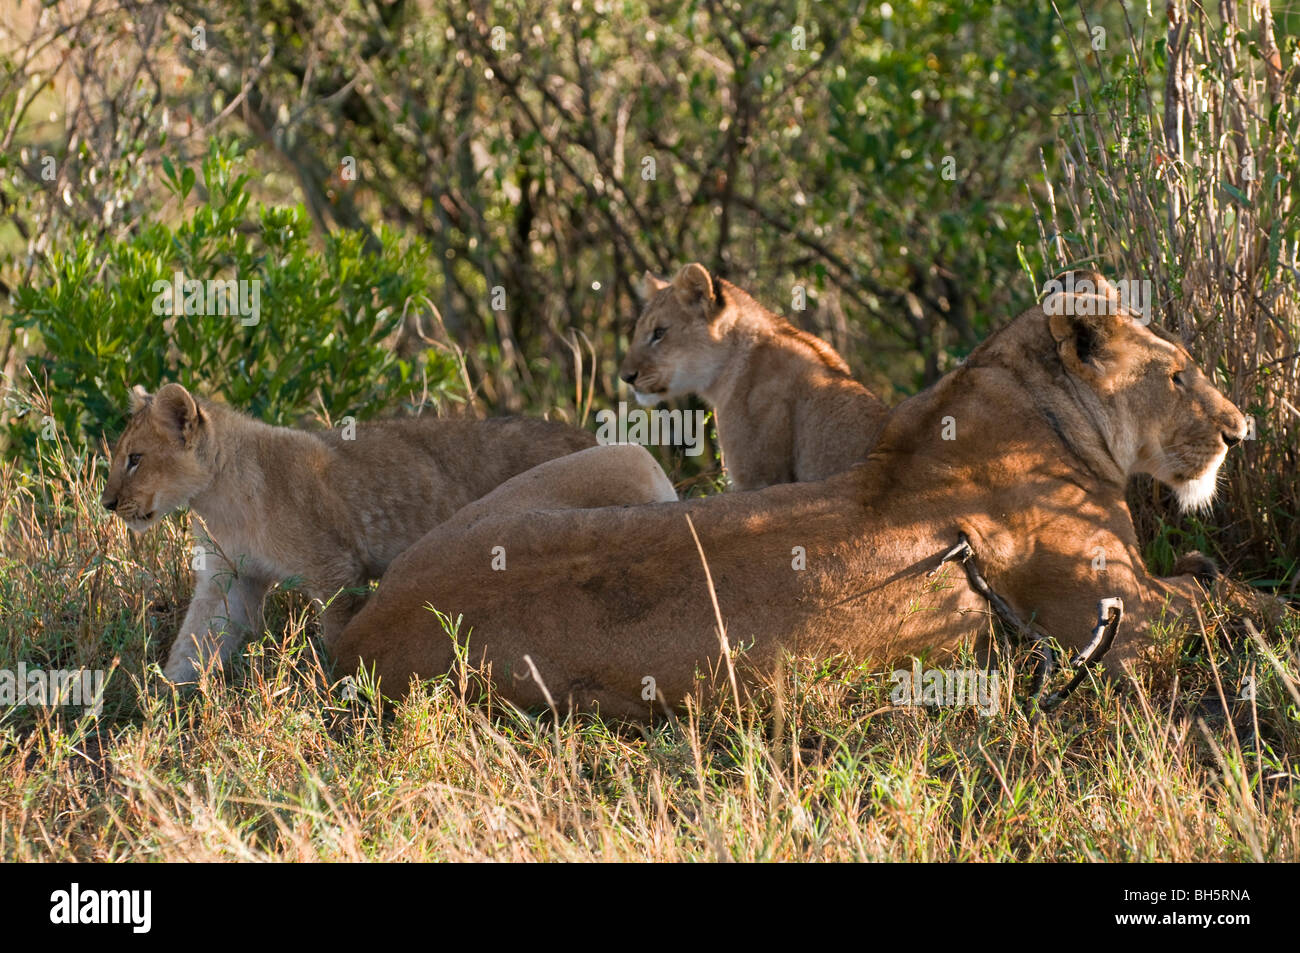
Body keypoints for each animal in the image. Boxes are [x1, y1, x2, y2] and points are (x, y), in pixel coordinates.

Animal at [101, 383, 607, 682]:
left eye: (135, 458)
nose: (106, 504)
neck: (218, 498)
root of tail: (589, 438)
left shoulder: (335, 568)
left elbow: (338, 638)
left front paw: (340, 690)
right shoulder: (230, 578)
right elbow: (193, 641)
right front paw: (162, 710)